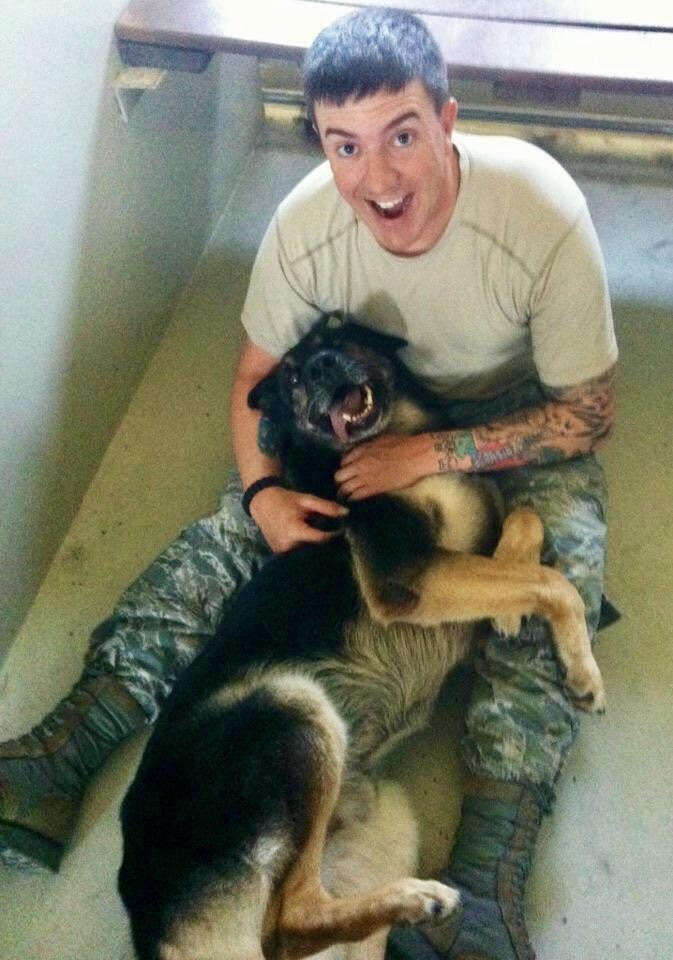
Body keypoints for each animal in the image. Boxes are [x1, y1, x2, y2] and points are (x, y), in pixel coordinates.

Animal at [117, 316, 604, 960]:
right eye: (292, 376)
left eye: (334, 339)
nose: (321, 366)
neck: (393, 440)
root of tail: (142, 909)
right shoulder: (410, 578)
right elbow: (554, 581)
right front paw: (582, 669)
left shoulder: (460, 554)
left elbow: (525, 519)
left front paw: (509, 609)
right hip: (295, 708)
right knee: (290, 920)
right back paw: (418, 899)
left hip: (386, 817)